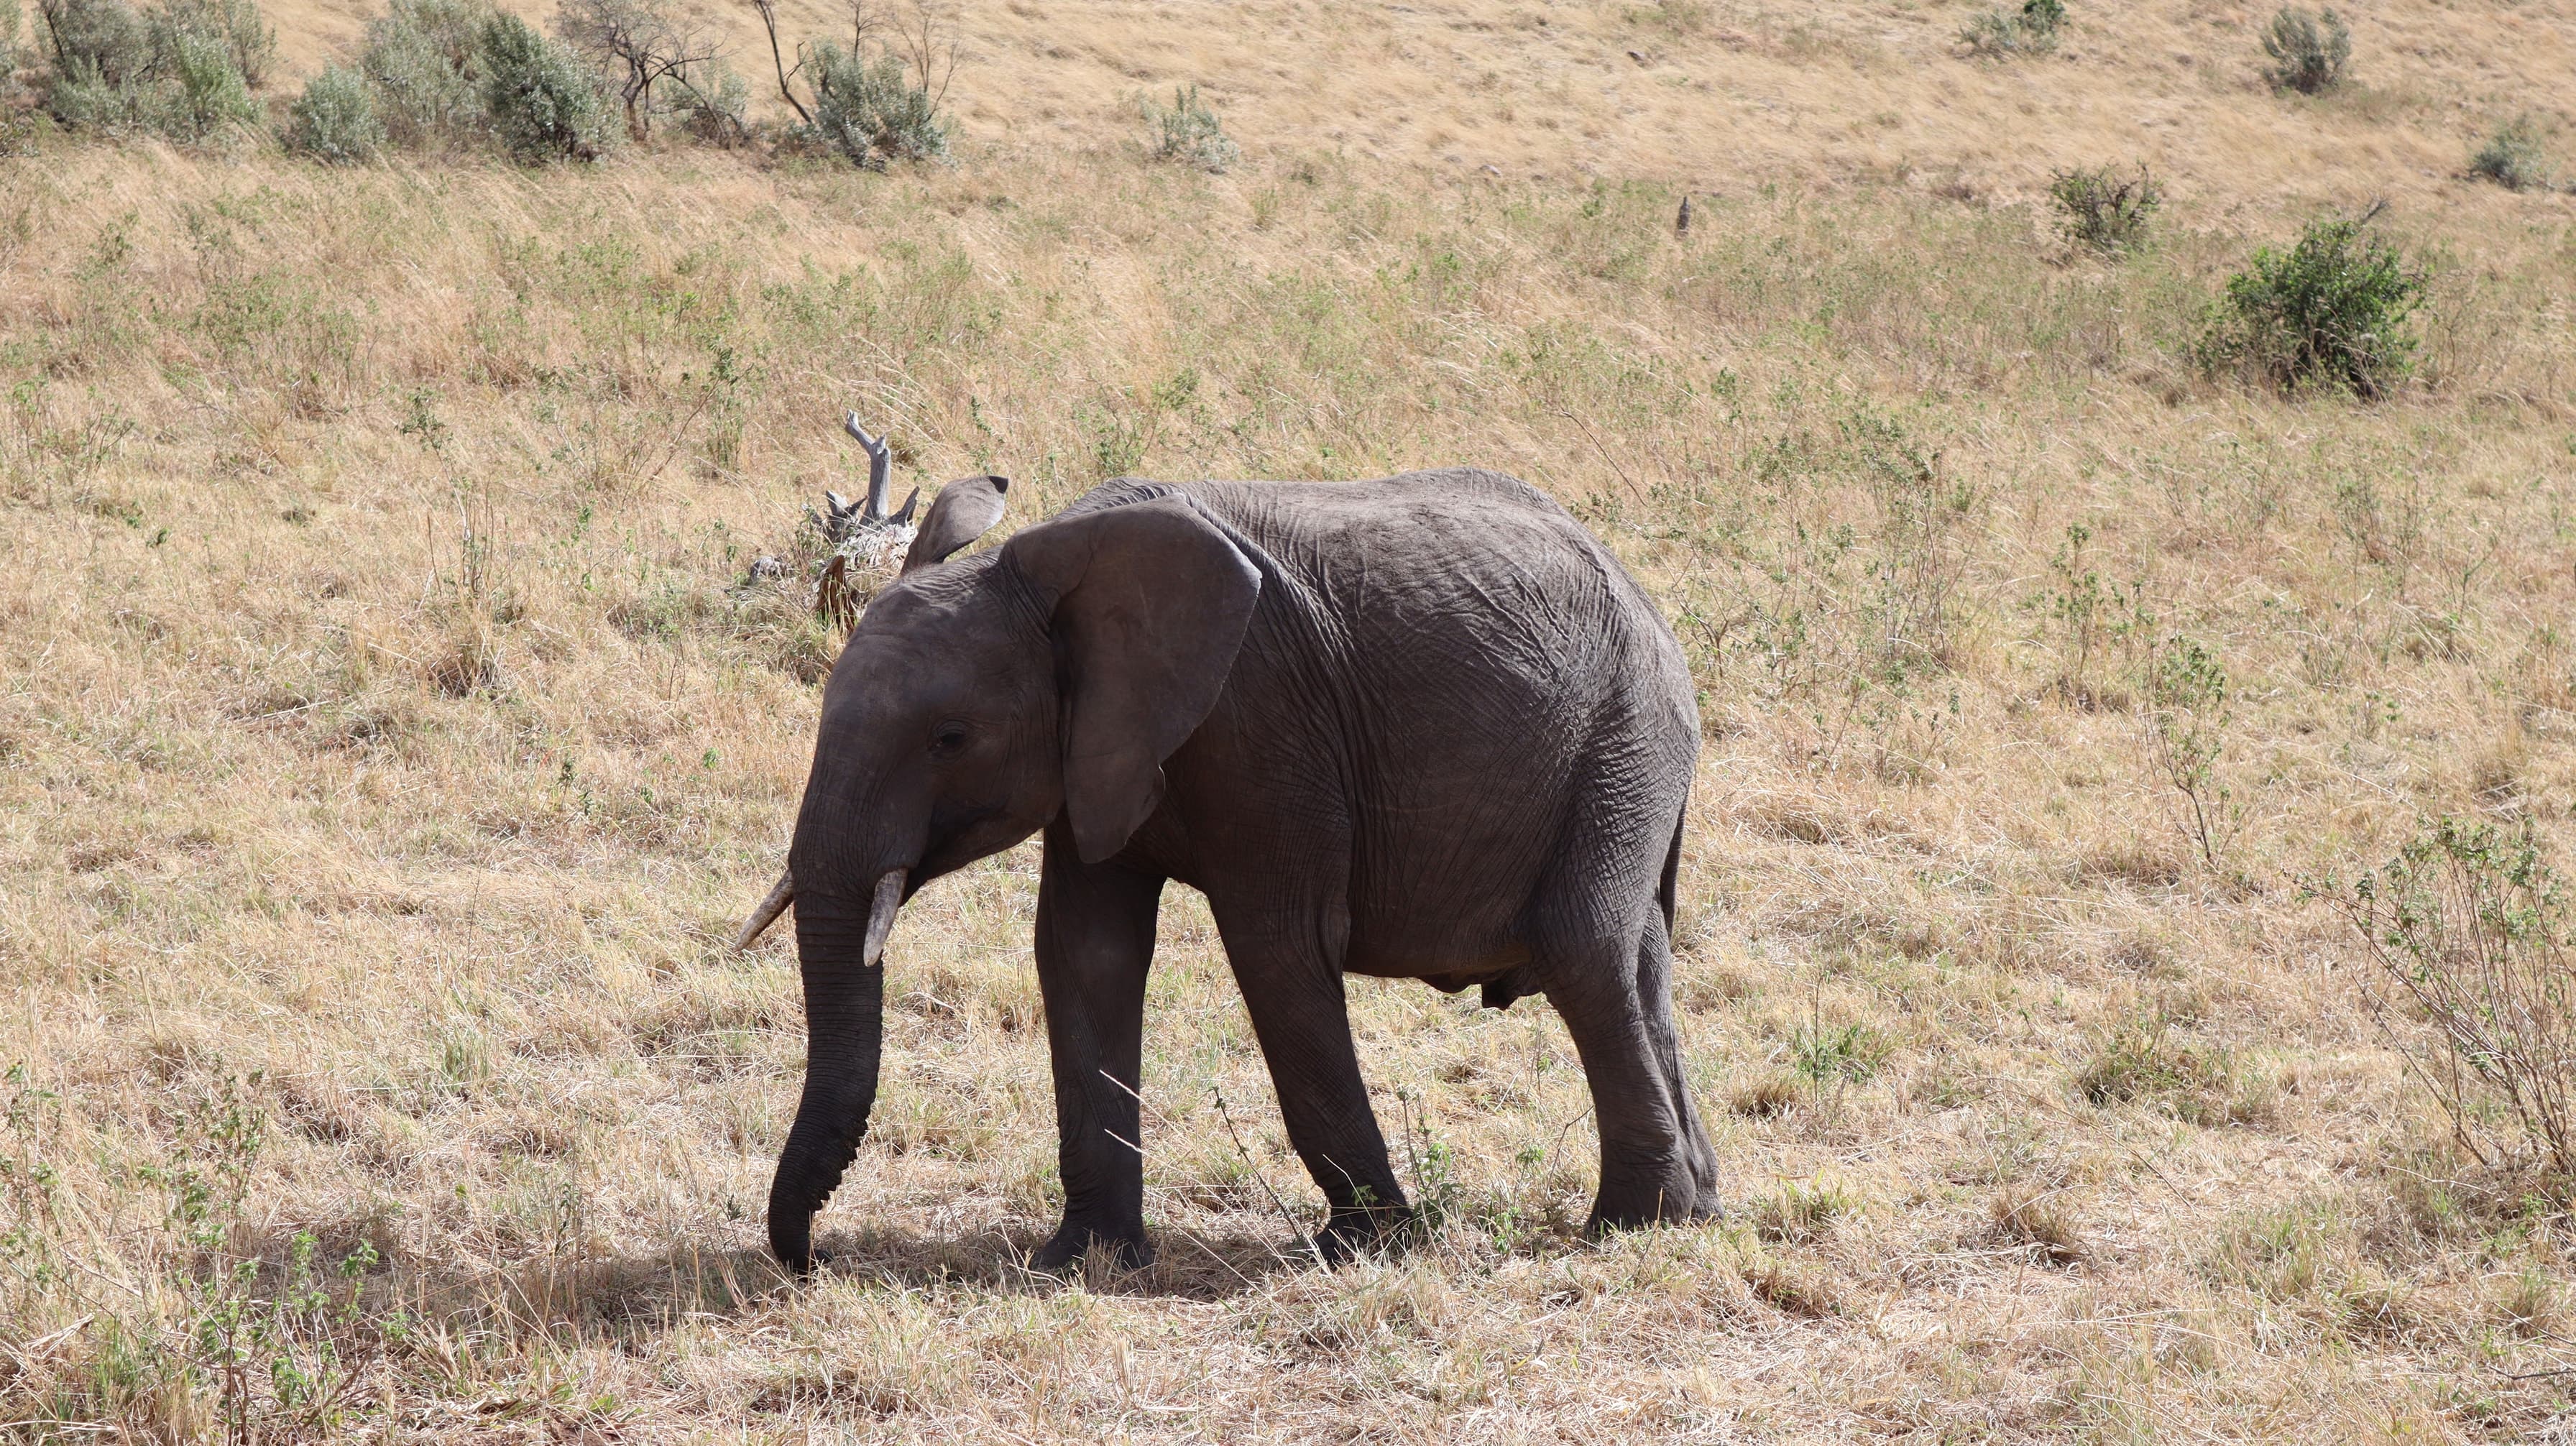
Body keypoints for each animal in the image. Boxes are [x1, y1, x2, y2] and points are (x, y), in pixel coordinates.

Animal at [737, 465, 1718, 1273]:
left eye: (949, 739)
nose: (815, 1258)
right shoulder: (1100, 747)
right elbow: (1085, 952)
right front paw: (1084, 1259)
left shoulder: (1264, 727)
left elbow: (1276, 948)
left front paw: (1366, 1246)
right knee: (1641, 958)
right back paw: (1698, 1207)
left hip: (1623, 736)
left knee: (1583, 950)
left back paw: (1629, 1224)